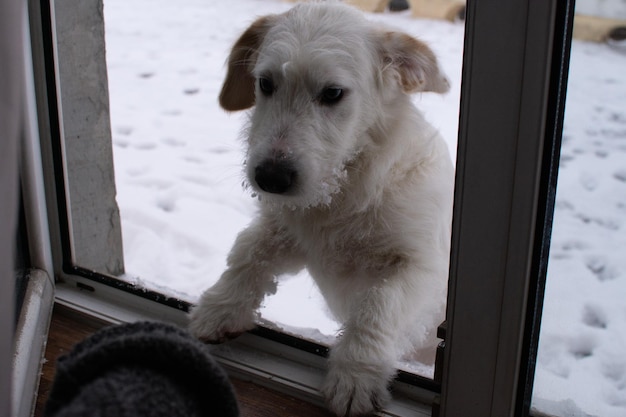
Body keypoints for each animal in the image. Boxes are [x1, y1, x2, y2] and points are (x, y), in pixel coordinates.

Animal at [188, 2, 450, 412]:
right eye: (266, 84)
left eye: (333, 93)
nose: (271, 178)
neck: (344, 189)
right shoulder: (290, 235)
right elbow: (249, 252)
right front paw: (220, 308)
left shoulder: (423, 268)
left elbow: (379, 303)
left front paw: (356, 375)